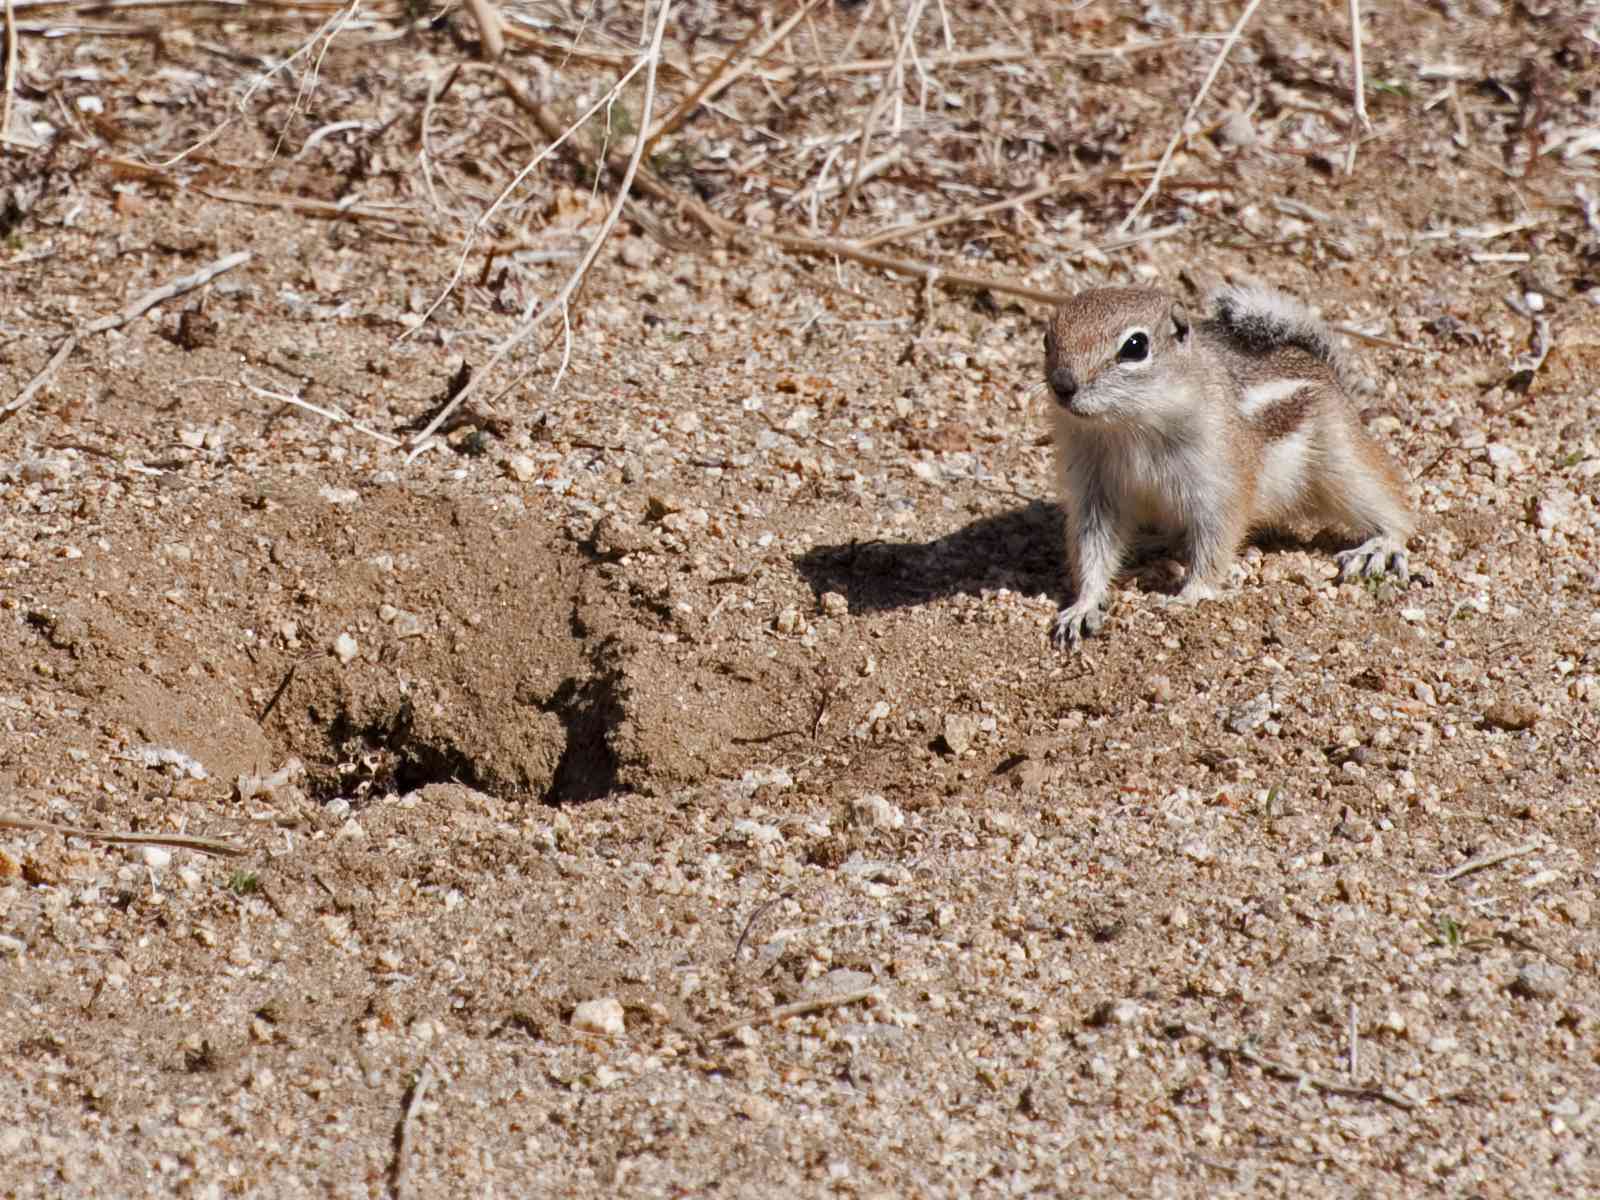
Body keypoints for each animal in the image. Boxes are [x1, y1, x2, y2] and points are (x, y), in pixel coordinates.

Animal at [1049, 286, 1414, 652]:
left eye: (1135, 346)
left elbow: (1215, 541)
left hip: (1342, 462)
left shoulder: (1219, 482)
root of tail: (1328, 372)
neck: (1128, 427)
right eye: (1048, 336)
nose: (1062, 385)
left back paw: (1380, 546)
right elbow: (1091, 549)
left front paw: (1191, 594)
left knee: (1394, 506)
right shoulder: (1094, 492)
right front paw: (1083, 606)